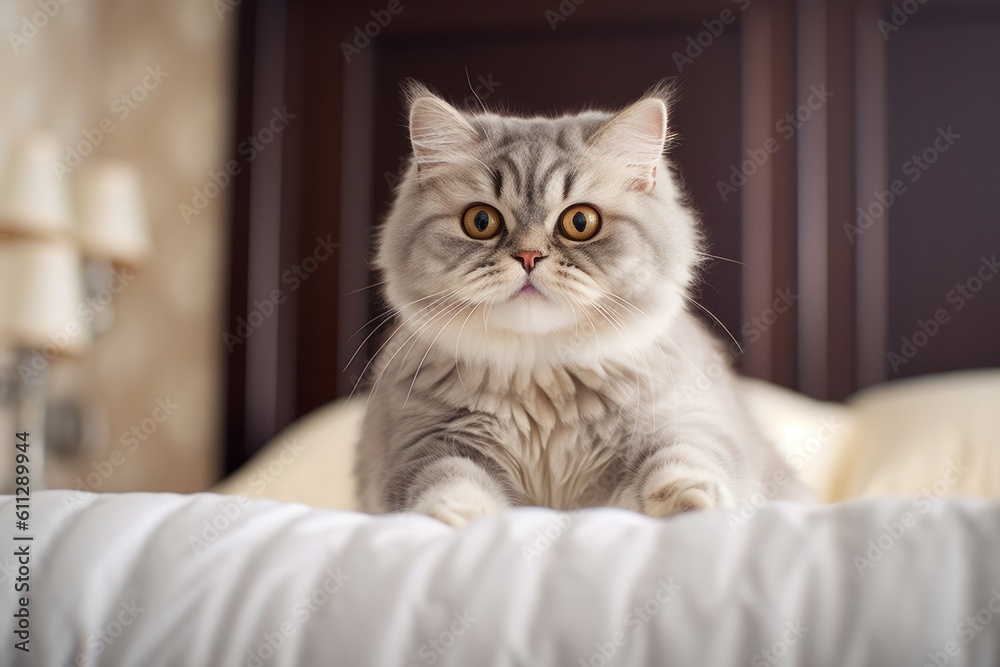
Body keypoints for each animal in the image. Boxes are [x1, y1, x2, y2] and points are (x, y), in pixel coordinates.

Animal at [356, 82, 808, 528]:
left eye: (580, 222)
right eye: (481, 222)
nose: (529, 257)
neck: (541, 380)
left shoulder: (684, 419)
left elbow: (683, 461)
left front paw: (691, 509)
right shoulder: (423, 442)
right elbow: (448, 479)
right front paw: (463, 519)